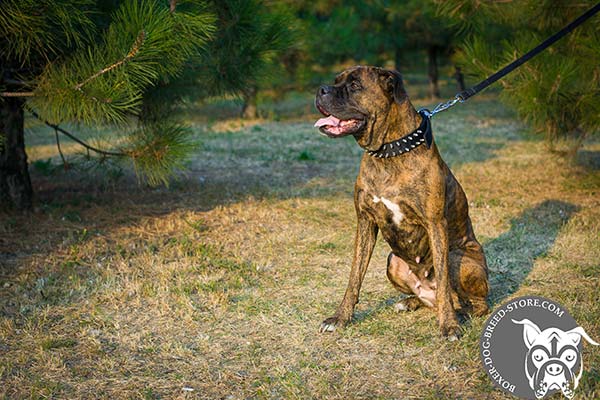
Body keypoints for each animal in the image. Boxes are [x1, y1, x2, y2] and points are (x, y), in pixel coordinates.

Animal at [314, 66, 488, 340]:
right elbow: (354, 276)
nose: (321, 90)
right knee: (430, 298)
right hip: (392, 261)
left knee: (468, 300)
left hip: (457, 257)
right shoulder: (365, 222)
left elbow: (443, 283)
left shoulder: (435, 223)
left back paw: (460, 313)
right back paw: (410, 302)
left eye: (354, 85)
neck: (388, 152)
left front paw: (449, 326)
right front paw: (340, 318)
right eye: (336, 81)